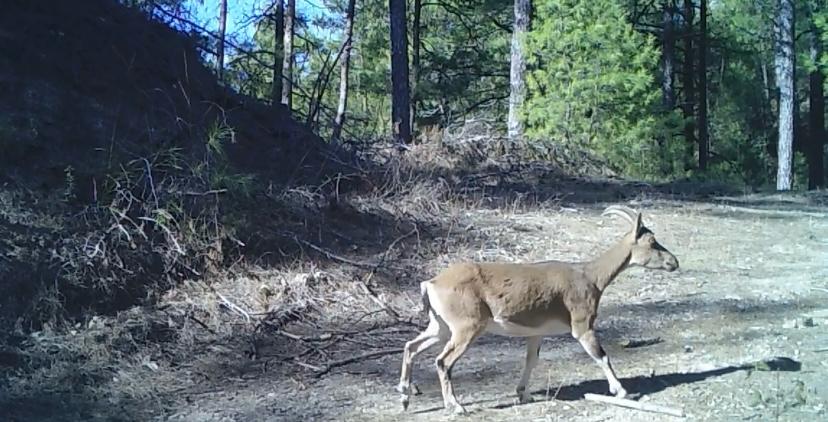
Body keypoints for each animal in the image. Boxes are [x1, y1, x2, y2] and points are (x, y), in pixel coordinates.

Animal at [396, 206, 680, 414]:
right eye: (653, 241)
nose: (674, 262)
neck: (590, 276)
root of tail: (431, 283)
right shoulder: (582, 324)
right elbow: (601, 355)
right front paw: (621, 391)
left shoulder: (536, 332)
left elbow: (531, 359)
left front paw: (524, 394)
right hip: (466, 326)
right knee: (443, 361)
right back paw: (455, 406)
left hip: (441, 325)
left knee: (411, 346)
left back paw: (405, 397)